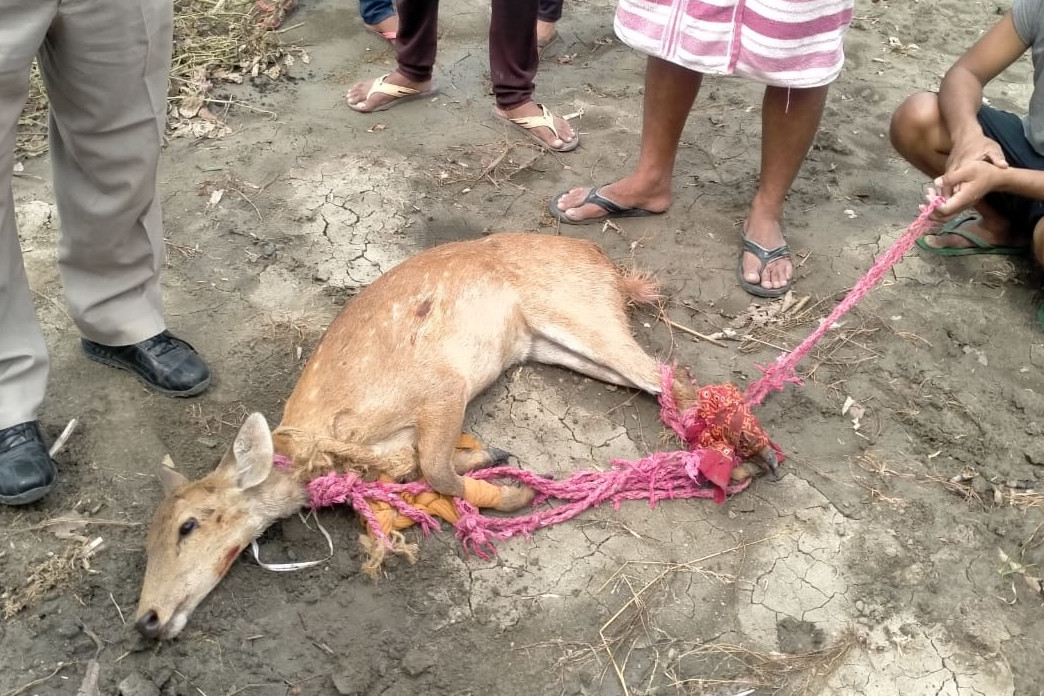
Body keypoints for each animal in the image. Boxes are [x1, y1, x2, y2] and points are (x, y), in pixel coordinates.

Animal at [134, 235, 776, 642]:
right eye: (148, 539)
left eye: (189, 524)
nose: (146, 619)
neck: (327, 440)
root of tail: (606, 264)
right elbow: (430, 470)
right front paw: (495, 461)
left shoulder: (441, 386)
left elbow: (438, 468)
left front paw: (518, 493)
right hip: (551, 343)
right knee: (667, 381)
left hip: (581, 314)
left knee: (672, 375)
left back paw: (749, 460)